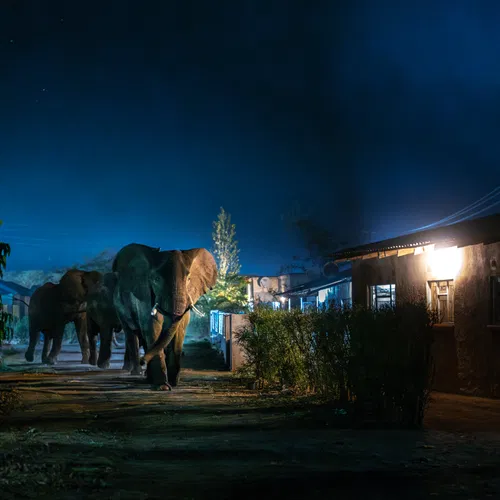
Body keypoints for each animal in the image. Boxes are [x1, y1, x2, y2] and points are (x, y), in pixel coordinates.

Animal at [113, 244, 217, 388]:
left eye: (189, 279)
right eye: (156, 280)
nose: (142, 360)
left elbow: (179, 330)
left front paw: (173, 383)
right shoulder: (145, 296)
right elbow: (153, 327)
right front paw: (162, 386)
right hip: (120, 309)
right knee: (132, 334)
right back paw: (140, 374)